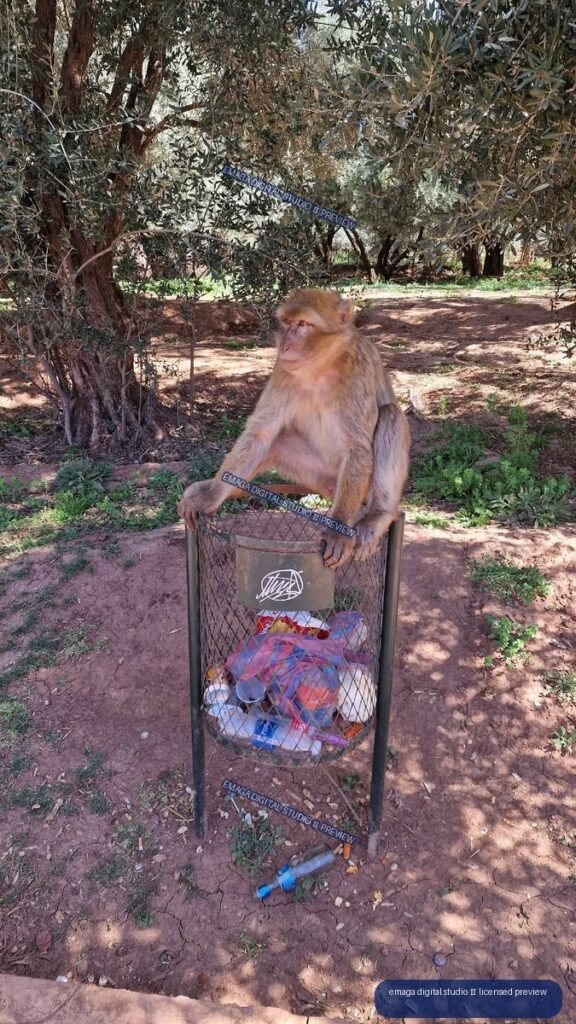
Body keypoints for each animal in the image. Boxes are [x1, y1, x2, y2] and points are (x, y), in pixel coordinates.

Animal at [179, 288, 410, 569]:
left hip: (359, 486)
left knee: (391, 415)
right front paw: (211, 496)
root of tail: (331, 487)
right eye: (286, 322)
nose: (285, 345)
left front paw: (338, 530)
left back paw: (379, 513)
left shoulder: (359, 371)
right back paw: (212, 488)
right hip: (316, 475)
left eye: (302, 324)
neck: (321, 365)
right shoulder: (283, 370)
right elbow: (259, 435)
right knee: (273, 442)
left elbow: (356, 448)